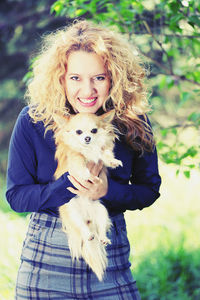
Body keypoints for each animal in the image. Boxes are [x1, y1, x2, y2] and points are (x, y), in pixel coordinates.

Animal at [53, 110, 122, 282]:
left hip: (101, 211)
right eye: (78, 132)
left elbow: (104, 153)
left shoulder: (101, 151)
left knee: (101, 228)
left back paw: (103, 238)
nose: (87, 138)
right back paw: (88, 234)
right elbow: (79, 159)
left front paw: (113, 161)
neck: (89, 149)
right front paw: (85, 173)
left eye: (94, 131)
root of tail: (87, 217)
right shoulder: (73, 156)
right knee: (82, 228)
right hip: (73, 213)